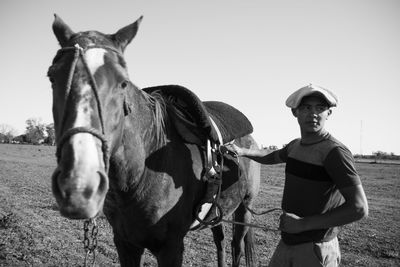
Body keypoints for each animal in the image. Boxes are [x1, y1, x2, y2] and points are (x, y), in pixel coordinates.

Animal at [48, 14, 260, 267]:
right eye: (52, 77)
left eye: (123, 82)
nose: (78, 183)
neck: (140, 173)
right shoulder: (125, 243)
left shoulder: (171, 248)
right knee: (220, 241)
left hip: (245, 208)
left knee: (236, 246)